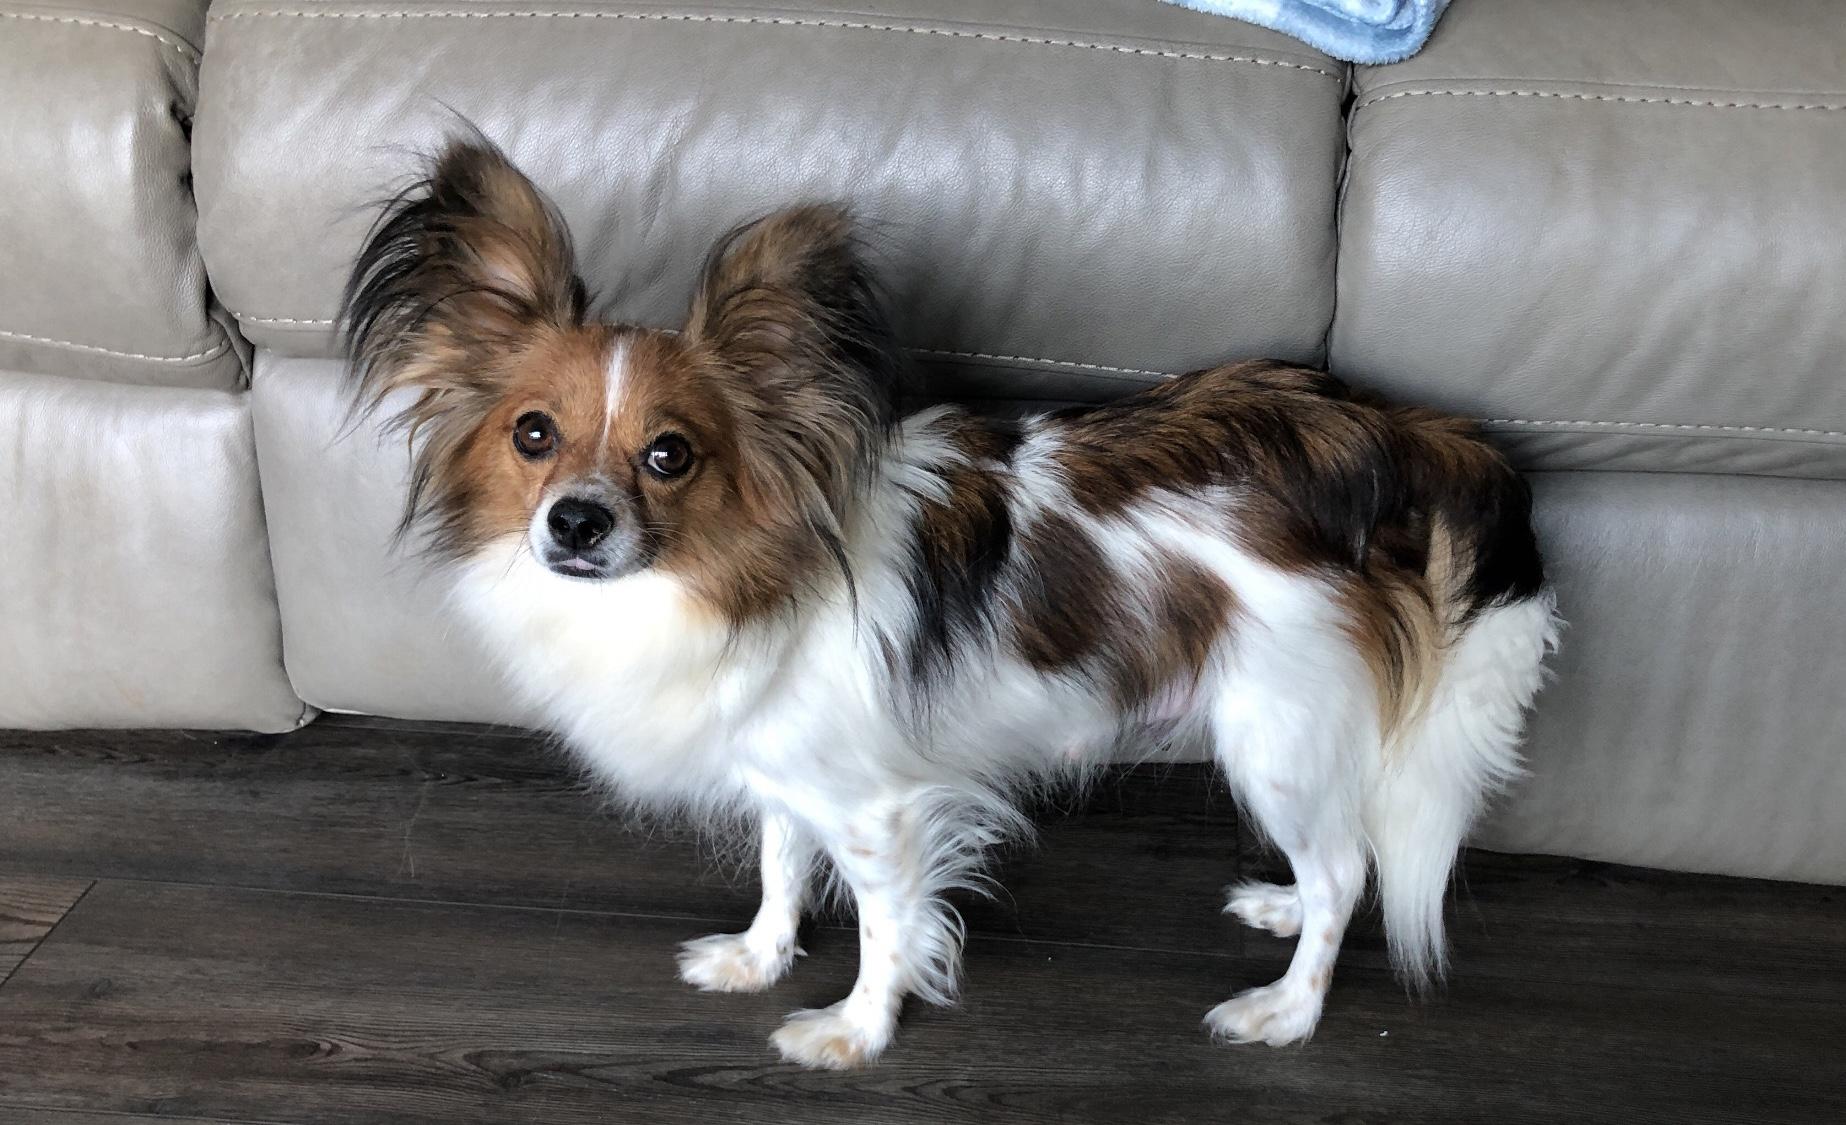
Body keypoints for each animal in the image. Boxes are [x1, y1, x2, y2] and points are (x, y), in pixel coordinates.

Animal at [342, 137, 1559, 1070]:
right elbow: (782, 866)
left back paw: (1288, 1007)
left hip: (1275, 733)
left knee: (1347, 868)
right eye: (532, 435)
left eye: (670, 455)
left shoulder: (882, 811)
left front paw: (852, 1030)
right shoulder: (783, 765)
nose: (576, 523)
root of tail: (1374, 428)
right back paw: (1283, 905)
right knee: (1336, 862)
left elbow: (886, 927)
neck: (730, 574)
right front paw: (758, 957)